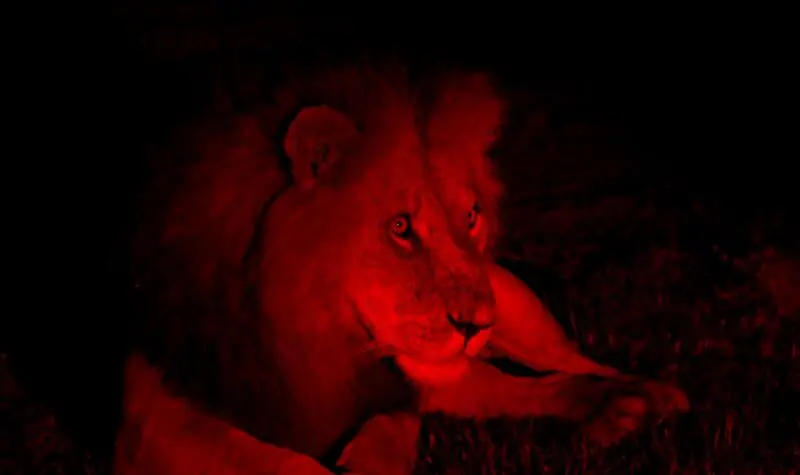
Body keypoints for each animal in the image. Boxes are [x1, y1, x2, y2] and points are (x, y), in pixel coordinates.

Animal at [117, 62, 689, 475]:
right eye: (399, 227)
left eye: (471, 216)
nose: (477, 325)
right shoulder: (151, 417)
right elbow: (288, 463)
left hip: (515, 309)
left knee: (570, 363)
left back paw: (647, 396)